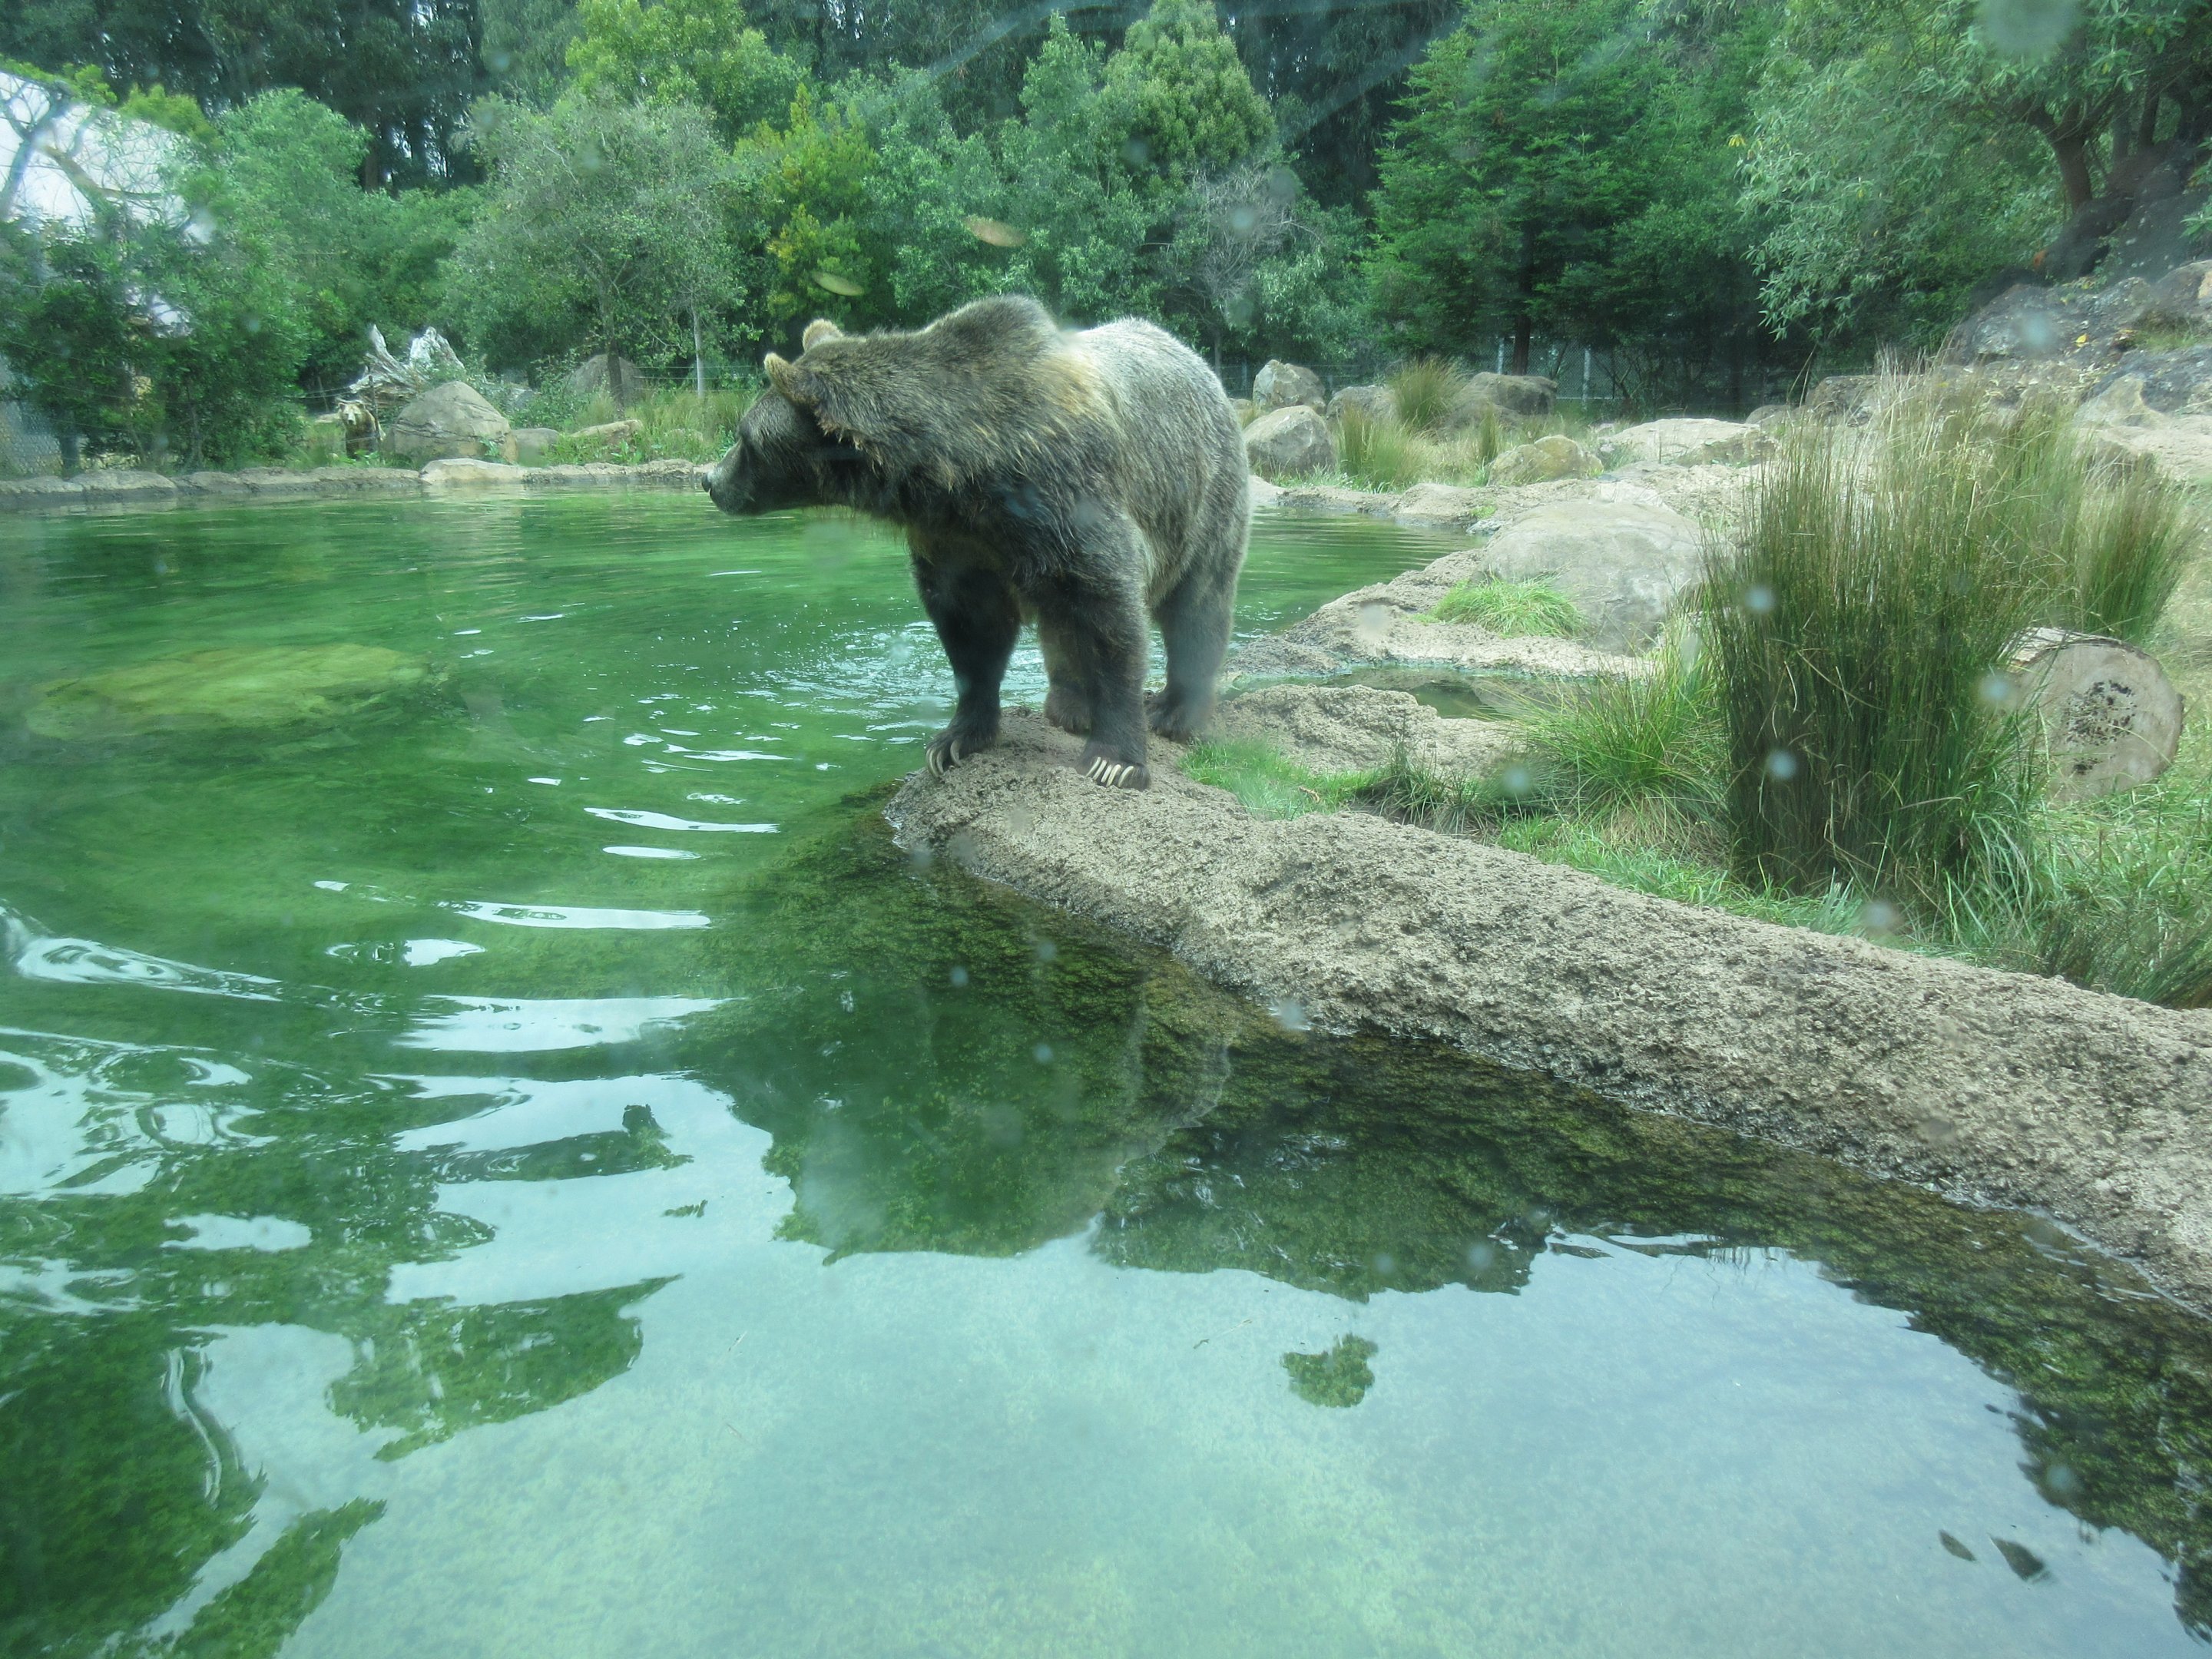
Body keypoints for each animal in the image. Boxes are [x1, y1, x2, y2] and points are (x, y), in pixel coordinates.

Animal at [703, 295, 1249, 789]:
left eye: (745, 438)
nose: (709, 479)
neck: (966, 475)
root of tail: (1199, 362)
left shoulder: (1071, 500)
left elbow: (1111, 616)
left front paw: (1115, 760)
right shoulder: (959, 541)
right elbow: (970, 631)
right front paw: (954, 739)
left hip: (1203, 495)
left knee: (1197, 604)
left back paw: (1176, 711)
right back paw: (1070, 705)